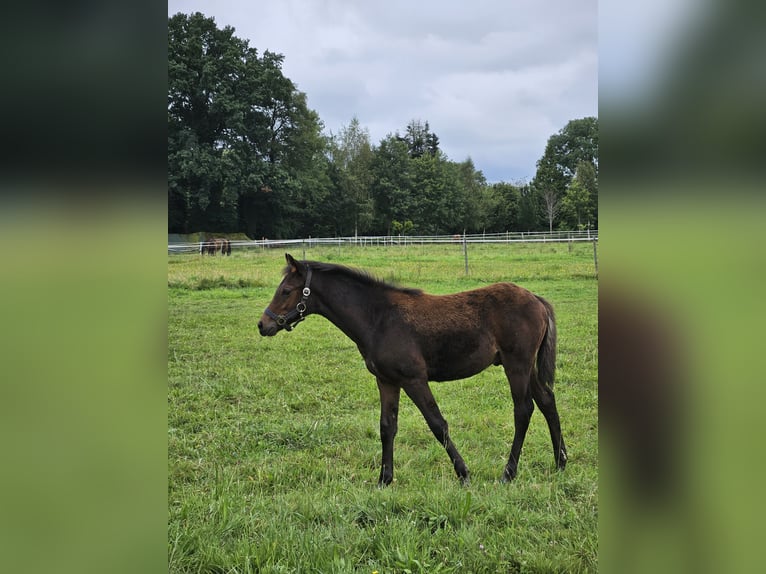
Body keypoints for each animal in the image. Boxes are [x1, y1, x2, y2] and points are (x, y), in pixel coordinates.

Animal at [260, 255, 568, 486]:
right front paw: (384, 480)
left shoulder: (414, 379)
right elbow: (387, 426)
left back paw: (509, 473)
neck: (379, 318)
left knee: (523, 410)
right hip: (525, 366)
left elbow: (437, 424)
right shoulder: (387, 381)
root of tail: (537, 300)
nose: (263, 324)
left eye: (286, 291)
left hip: (517, 365)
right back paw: (560, 461)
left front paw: (463, 473)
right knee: (547, 400)